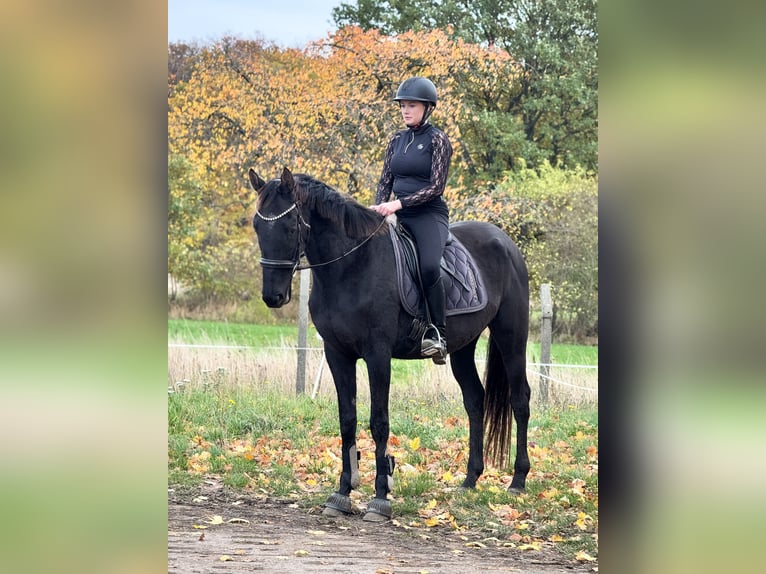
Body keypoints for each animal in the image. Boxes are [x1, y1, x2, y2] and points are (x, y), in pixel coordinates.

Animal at [248, 167, 531, 522]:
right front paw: (342, 493)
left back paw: (518, 481)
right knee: (475, 401)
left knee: (520, 399)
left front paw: (381, 498)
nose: (273, 297)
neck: (351, 266)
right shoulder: (337, 355)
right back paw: (469, 480)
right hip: (462, 348)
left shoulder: (377, 355)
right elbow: (347, 420)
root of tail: (505, 241)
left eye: (289, 226)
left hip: (511, 336)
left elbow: (379, 422)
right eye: (257, 226)